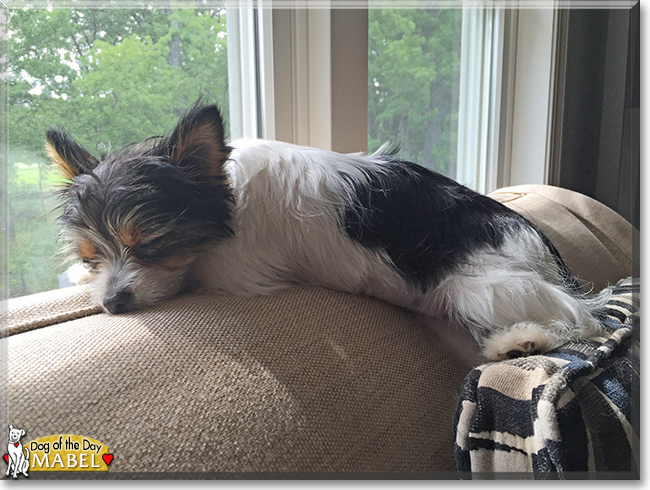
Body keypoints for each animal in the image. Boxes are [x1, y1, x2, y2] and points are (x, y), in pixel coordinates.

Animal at [46, 101, 608, 360]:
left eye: (153, 245)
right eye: (92, 250)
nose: (112, 302)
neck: (229, 193)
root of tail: (547, 254)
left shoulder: (235, 268)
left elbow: (198, 268)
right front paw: (80, 276)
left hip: (482, 287)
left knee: (583, 321)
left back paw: (525, 342)